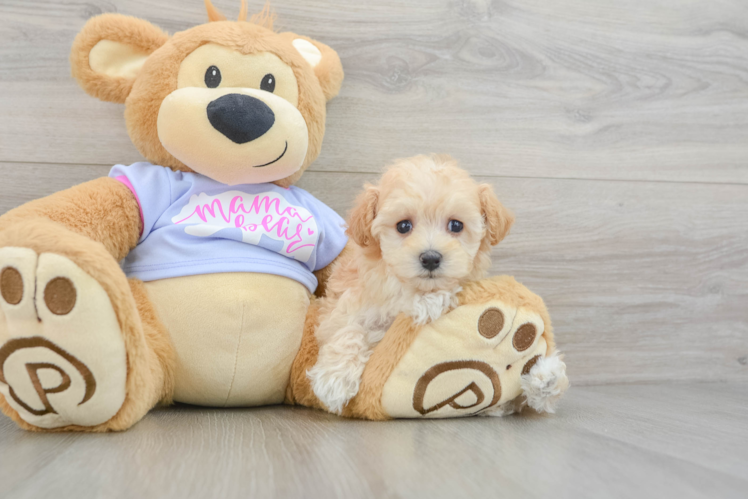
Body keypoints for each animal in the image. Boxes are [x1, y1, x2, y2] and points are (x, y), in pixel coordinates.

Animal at [306, 154, 512, 412]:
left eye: (456, 225)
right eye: (403, 226)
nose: (431, 258)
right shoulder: (342, 306)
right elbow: (348, 329)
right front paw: (334, 380)